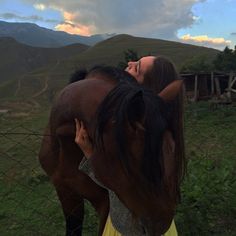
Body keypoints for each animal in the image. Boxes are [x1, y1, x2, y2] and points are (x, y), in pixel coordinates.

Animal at [38, 65, 183, 236]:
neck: (66, 149)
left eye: (172, 148)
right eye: (135, 159)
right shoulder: (66, 192)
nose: (162, 224)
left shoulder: (104, 202)